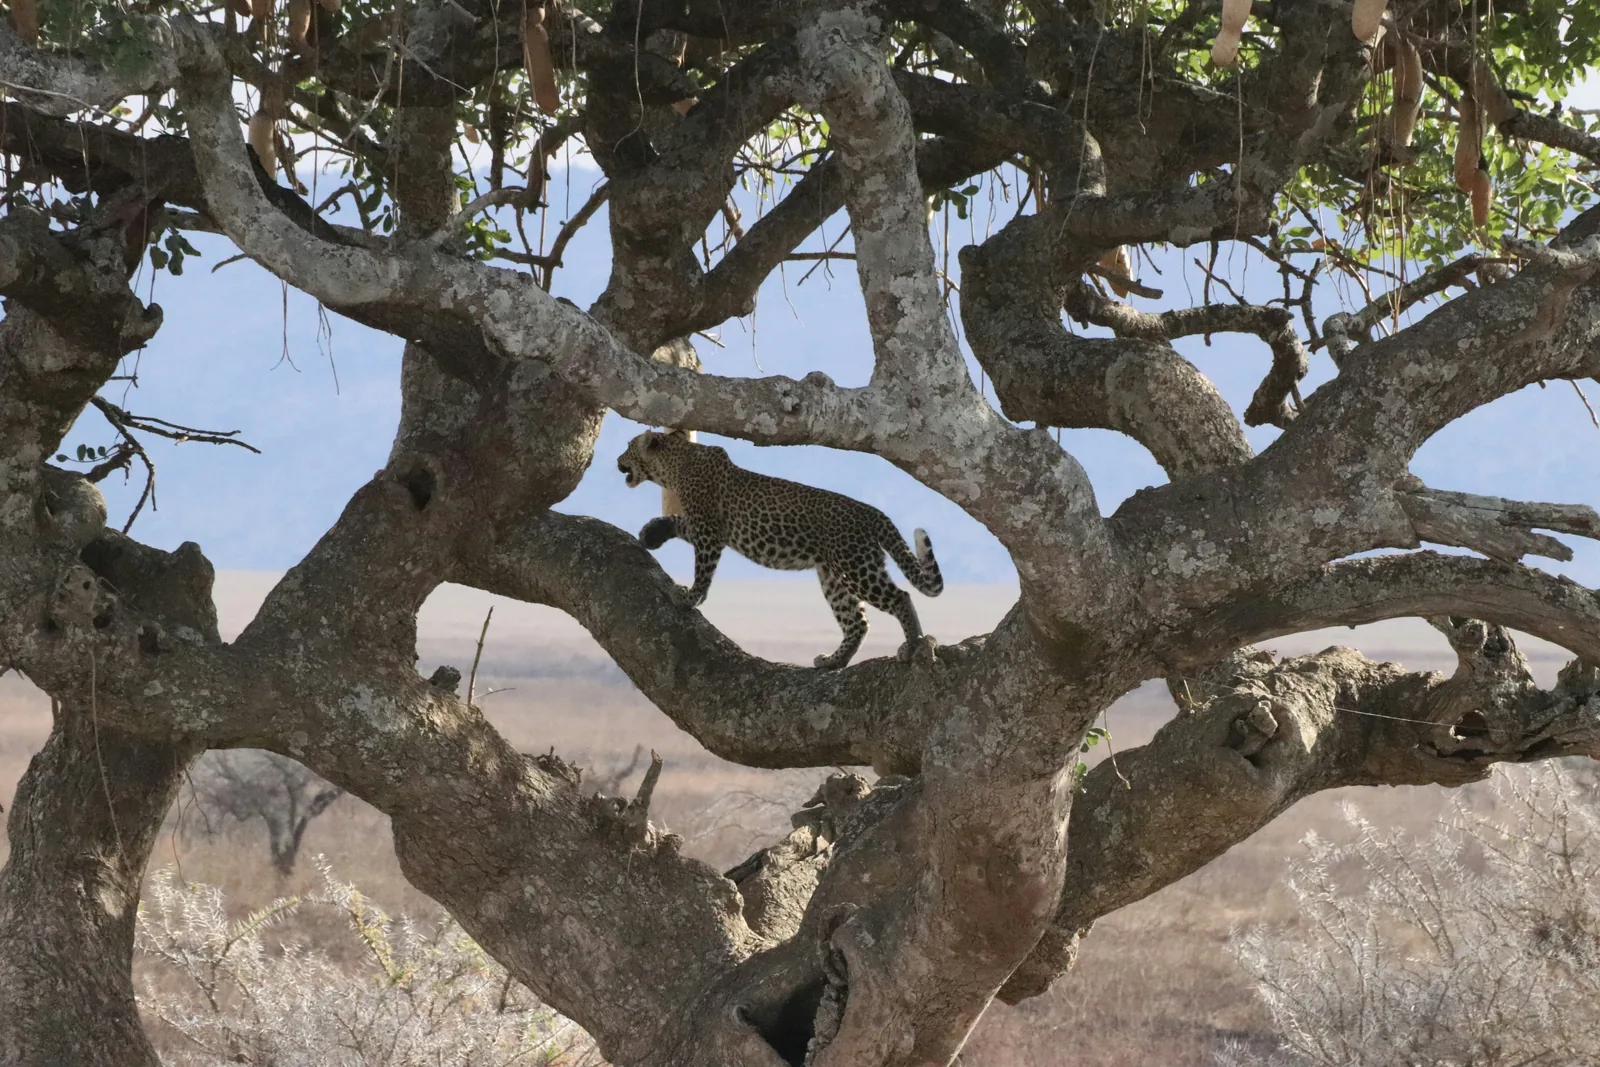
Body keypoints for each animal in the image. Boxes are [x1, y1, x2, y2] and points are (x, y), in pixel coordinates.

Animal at [617, 429, 943, 670]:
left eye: (629, 446)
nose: (618, 460)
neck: (676, 465)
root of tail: (874, 513)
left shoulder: (709, 531)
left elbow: (703, 571)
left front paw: (688, 598)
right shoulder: (706, 526)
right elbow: (679, 523)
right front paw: (653, 533)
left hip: (857, 566)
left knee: (900, 597)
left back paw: (913, 646)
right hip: (833, 575)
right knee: (857, 622)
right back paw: (832, 662)